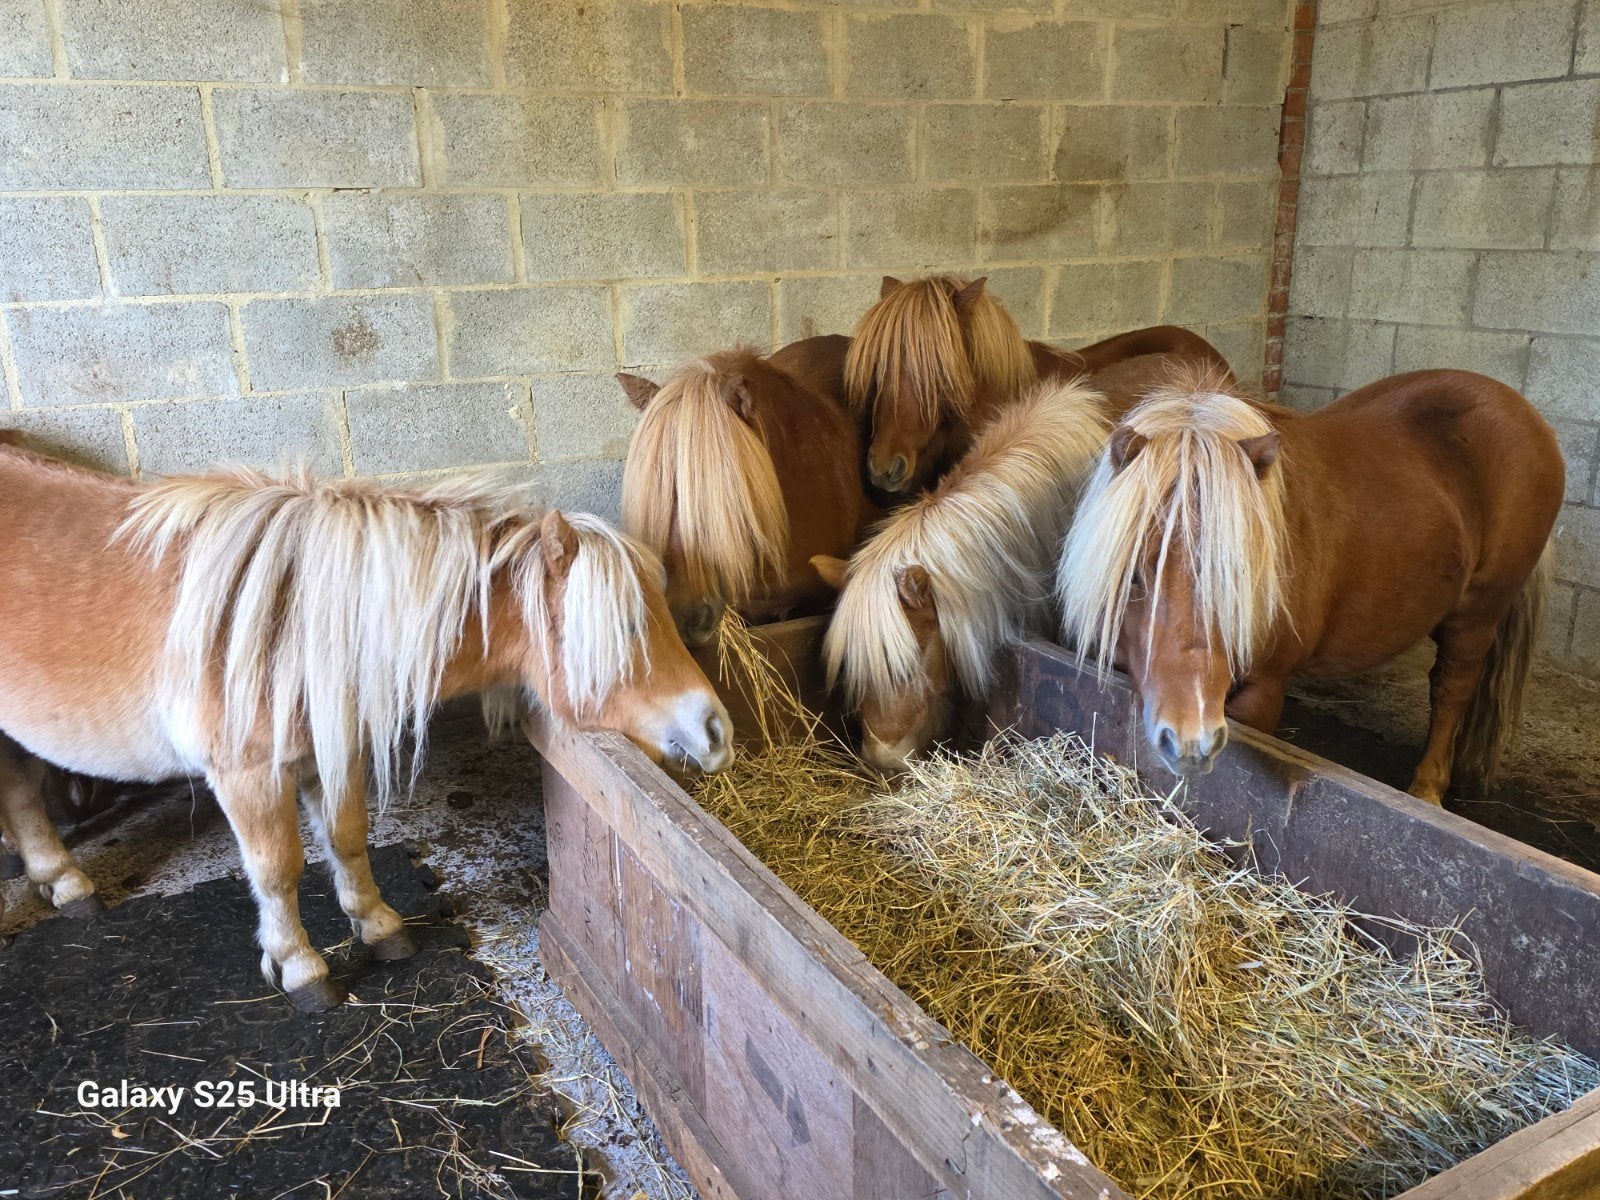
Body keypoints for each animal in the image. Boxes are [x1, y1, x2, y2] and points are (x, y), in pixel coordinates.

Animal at [0, 443, 731, 1009]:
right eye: (630, 626)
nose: (715, 730)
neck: (291, 619)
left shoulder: (332, 751)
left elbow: (347, 838)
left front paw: (378, 927)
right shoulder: (246, 775)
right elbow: (278, 869)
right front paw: (300, 967)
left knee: (21, 796)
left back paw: (63, 882)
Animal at [1057, 367, 1562, 804]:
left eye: (1241, 577)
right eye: (1133, 575)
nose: (1189, 743)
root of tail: (1521, 409)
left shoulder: (1262, 695)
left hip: (1478, 613)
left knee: (1451, 689)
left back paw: (1427, 789)